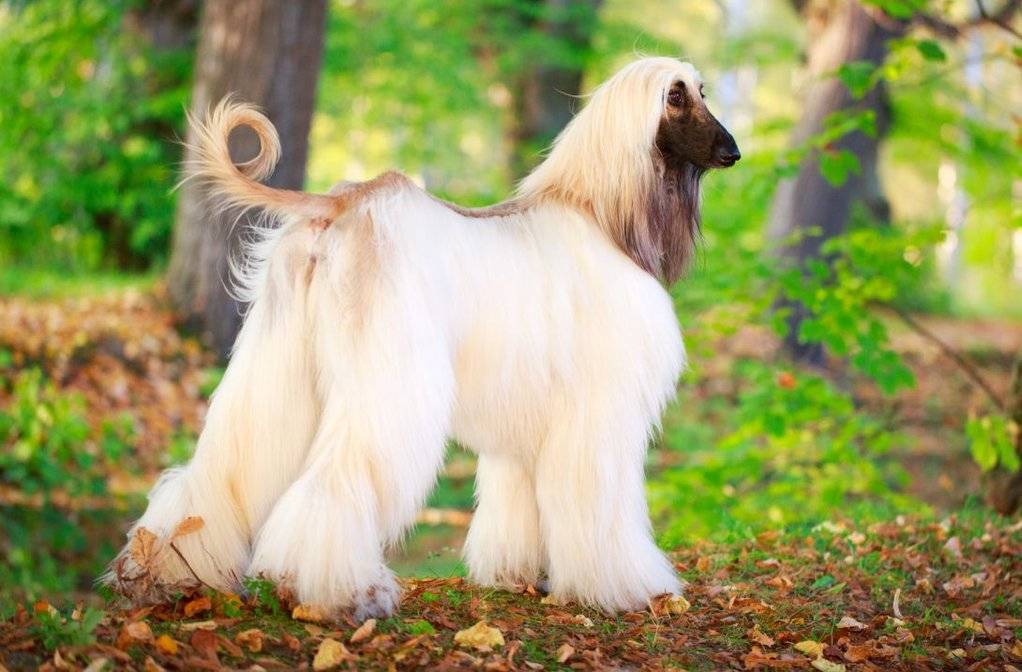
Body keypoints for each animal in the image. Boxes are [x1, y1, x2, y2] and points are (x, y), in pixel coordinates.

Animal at [106, 56, 740, 619]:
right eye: (676, 96)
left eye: (703, 90)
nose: (733, 151)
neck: (603, 217)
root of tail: (343, 201)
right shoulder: (599, 410)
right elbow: (602, 505)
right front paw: (628, 587)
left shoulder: (525, 417)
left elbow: (519, 496)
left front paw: (518, 574)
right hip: (390, 376)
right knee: (337, 482)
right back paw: (339, 591)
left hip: (276, 363)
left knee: (220, 468)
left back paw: (167, 571)